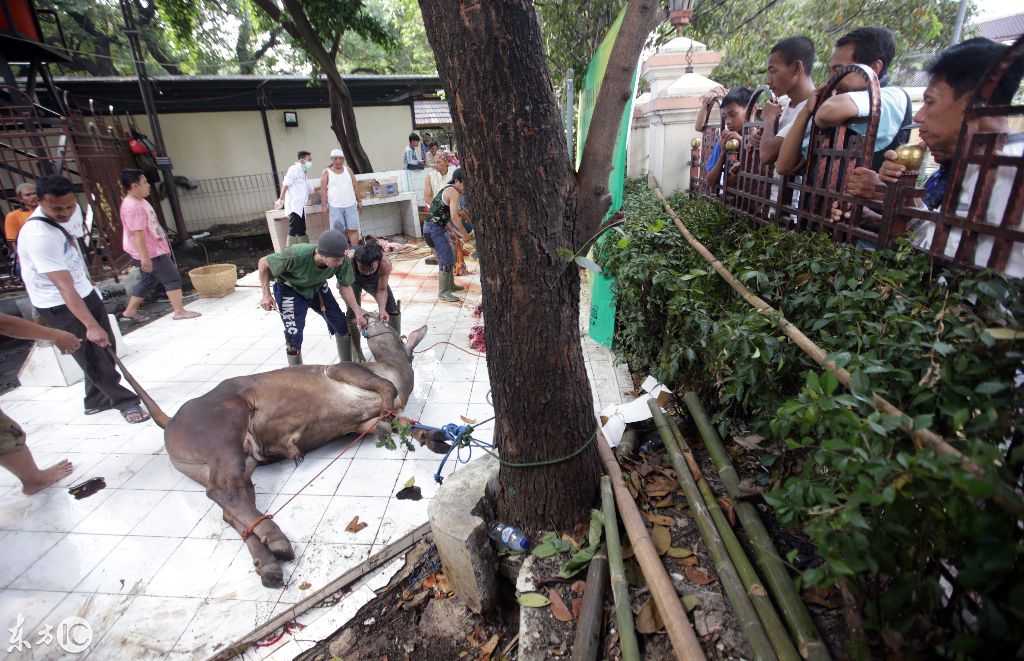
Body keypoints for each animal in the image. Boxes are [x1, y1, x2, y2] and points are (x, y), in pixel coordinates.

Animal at [119, 319, 432, 589]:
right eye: (385, 319)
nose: (365, 315)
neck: (397, 368)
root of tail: (171, 420)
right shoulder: (343, 370)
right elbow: (386, 392)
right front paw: (395, 414)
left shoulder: (362, 424)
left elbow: (398, 422)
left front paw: (430, 436)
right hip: (224, 428)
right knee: (224, 491)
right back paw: (277, 540)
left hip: (233, 461)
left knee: (232, 504)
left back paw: (268, 562)